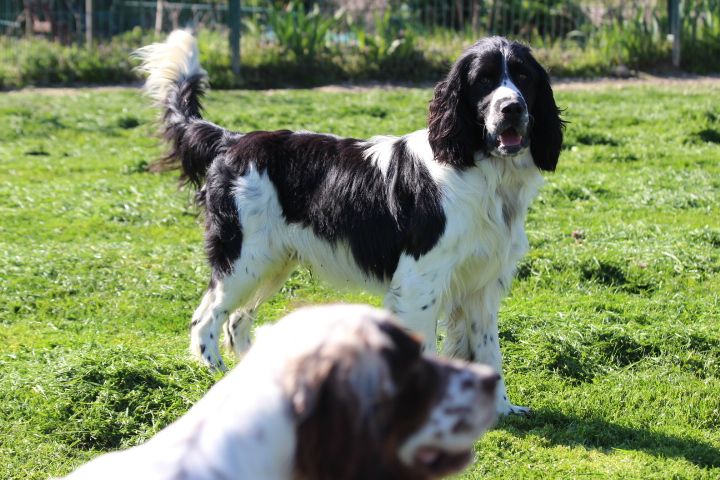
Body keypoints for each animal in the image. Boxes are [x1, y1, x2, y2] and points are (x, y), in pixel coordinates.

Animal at [135, 30, 564, 414]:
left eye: (523, 77)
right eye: (484, 80)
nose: (512, 108)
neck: (478, 169)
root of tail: (232, 140)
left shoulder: (481, 284)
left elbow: (489, 352)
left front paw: (502, 410)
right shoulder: (419, 284)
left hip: (272, 264)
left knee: (237, 322)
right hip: (242, 260)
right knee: (205, 318)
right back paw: (216, 374)